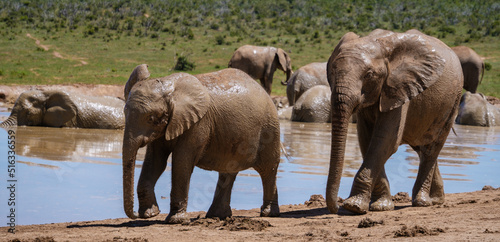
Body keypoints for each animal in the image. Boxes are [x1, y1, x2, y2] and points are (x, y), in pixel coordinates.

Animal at [119, 64, 280, 223]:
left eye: (151, 118)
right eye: (124, 113)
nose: (135, 215)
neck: (169, 87)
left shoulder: (199, 123)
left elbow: (181, 162)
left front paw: (176, 220)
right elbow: (156, 161)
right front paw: (150, 214)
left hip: (269, 128)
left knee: (268, 169)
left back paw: (268, 213)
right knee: (228, 171)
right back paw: (217, 216)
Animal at [326, 29, 462, 215]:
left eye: (369, 75)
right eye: (332, 72)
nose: (336, 208)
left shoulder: (399, 87)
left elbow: (385, 141)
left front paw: (353, 206)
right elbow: (367, 140)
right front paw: (381, 206)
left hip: (454, 100)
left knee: (432, 148)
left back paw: (422, 202)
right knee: (422, 148)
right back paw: (436, 200)